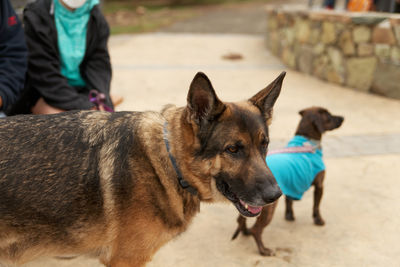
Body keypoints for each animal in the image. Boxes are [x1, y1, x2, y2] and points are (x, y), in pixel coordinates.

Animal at [231, 107, 344, 258]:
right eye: (329, 116)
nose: (342, 118)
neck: (306, 141)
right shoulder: (320, 186)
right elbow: (316, 206)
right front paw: (318, 220)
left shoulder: (291, 185)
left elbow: (289, 201)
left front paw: (289, 215)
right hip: (268, 209)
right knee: (257, 230)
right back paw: (263, 250)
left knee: (241, 219)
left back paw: (245, 232)